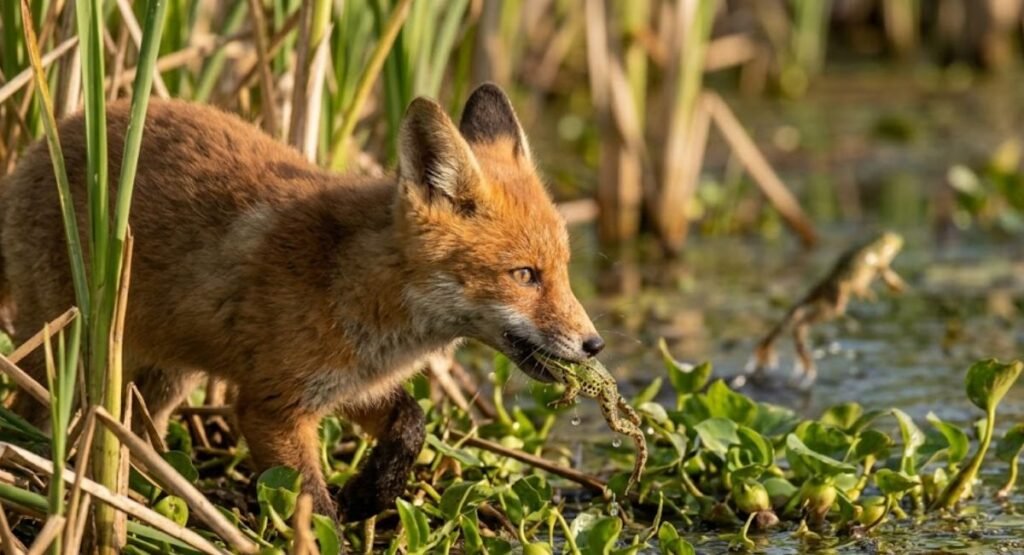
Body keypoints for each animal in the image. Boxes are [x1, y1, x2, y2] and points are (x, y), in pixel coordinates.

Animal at [0, 84, 604, 520]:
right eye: (525, 275)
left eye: (564, 270)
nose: (594, 344)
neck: (356, 285)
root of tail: (47, 138)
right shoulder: (272, 406)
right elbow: (312, 506)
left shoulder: (348, 385)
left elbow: (411, 423)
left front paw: (370, 494)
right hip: (68, 351)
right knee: (34, 415)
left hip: (164, 374)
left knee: (143, 438)